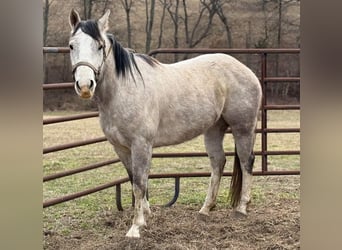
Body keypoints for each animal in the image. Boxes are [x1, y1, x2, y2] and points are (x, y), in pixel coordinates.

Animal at [69, 8, 262, 237]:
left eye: (99, 46)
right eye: (71, 45)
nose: (84, 86)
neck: (123, 89)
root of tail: (246, 70)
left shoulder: (141, 145)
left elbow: (139, 183)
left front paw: (135, 227)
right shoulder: (121, 148)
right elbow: (134, 180)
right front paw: (146, 215)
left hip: (243, 128)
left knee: (246, 161)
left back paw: (241, 208)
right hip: (214, 129)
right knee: (218, 163)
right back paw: (205, 210)